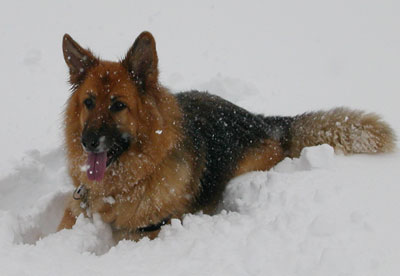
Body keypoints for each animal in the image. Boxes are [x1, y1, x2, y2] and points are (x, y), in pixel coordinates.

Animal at [57, 31, 396, 240]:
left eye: (118, 105)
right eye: (89, 102)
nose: (88, 142)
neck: (124, 184)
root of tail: (267, 122)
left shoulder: (148, 230)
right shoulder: (75, 211)